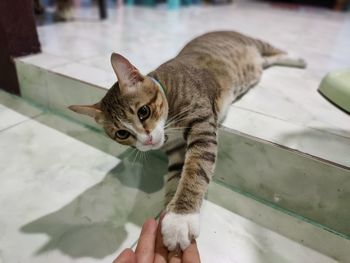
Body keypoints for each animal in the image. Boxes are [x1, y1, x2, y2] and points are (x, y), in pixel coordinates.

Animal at [69, 31, 306, 252]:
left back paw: (298, 59)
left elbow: (195, 169)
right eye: (121, 134)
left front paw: (180, 218)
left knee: (273, 49)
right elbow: (176, 176)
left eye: (143, 111)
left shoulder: (202, 124)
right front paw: (167, 213)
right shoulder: (175, 150)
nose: (147, 140)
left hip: (252, 42)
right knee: (266, 61)